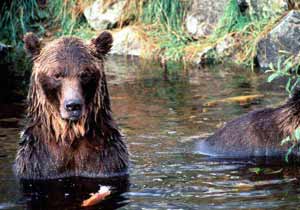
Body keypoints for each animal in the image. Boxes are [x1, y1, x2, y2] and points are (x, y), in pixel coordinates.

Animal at [15, 31, 127, 179]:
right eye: (57, 75)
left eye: (85, 74)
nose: (73, 105)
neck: (70, 133)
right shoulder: (38, 162)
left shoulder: (107, 158)